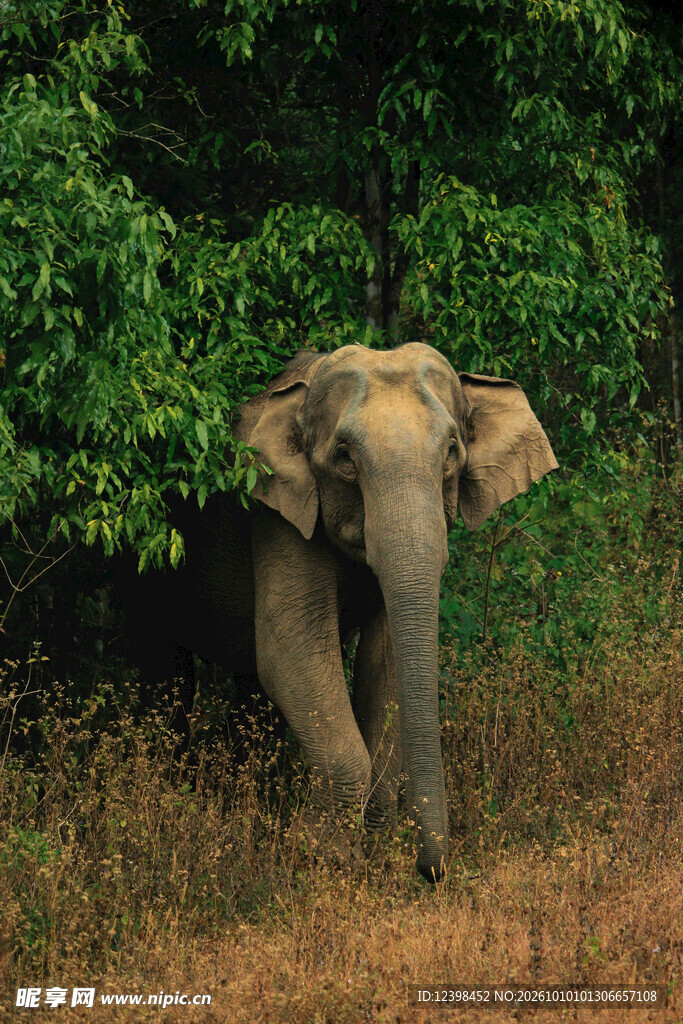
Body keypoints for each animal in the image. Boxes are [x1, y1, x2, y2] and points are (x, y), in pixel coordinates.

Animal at [136, 342, 557, 882]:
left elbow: (385, 658)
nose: (430, 873)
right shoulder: (281, 516)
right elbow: (289, 645)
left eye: (451, 453)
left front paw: (373, 850)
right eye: (343, 458)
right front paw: (321, 856)